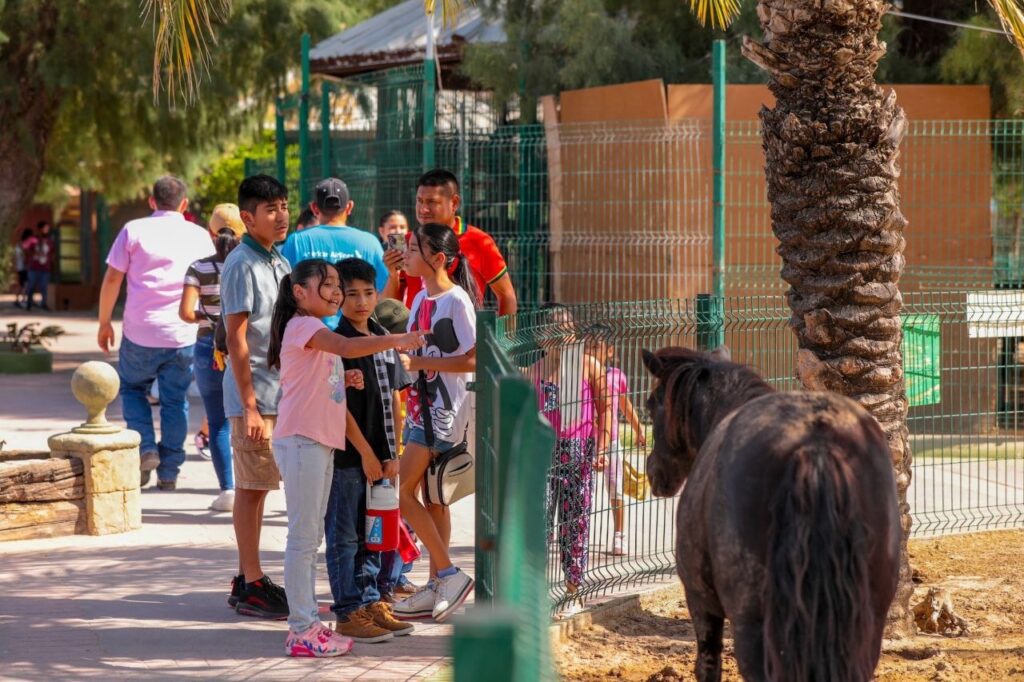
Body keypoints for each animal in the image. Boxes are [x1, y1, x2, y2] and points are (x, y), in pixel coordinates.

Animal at [643, 348, 901, 675]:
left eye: (652, 404)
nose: (652, 470)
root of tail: (815, 444)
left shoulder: (700, 600)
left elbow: (708, 665)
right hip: (867, 622)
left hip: (752, 622)